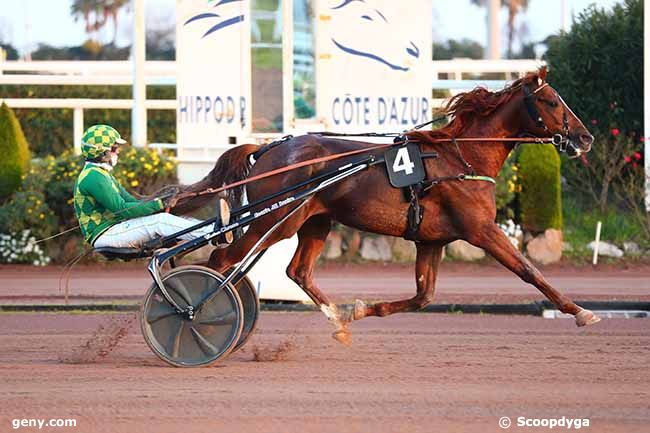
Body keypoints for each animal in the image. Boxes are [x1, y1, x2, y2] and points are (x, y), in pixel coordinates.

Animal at [176, 67, 596, 342]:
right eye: (551, 101)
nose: (585, 137)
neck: (462, 158)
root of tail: (269, 147)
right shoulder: (481, 230)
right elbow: (529, 270)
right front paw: (579, 311)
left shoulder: (431, 241)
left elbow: (423, 297)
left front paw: (359, 309)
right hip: (277, 219)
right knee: (222, 260)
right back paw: (195, 311)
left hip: (314, 221)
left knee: (298, 272)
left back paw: (338, 320)